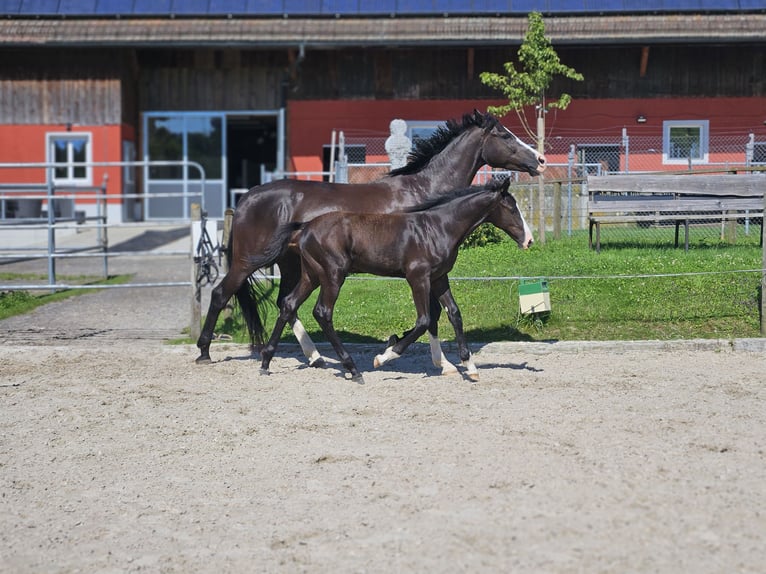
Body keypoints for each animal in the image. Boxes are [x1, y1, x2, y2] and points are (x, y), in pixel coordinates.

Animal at [198, 110, 544, 366]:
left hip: (293, 265)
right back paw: (204, 352)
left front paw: (430, 357)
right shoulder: (421, 270)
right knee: (220, 294)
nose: (539, 160)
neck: (424, 192)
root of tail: (245, 198)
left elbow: (436, 314)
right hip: (249, 261)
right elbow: (431, 315)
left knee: (287, 303)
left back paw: (314, 356)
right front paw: (416, 354)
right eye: (505, 136)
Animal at [260, 179, 532, 388]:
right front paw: (385, 355)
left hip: (311, 275)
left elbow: (454, 314)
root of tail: (305, 228)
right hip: (333, 275)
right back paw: (353, 369)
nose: (528, 240)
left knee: (289, 304)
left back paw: (265, 362)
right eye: (511, 208)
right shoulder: (417, 277)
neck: (438, 228)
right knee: (322, 312)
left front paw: (470, 366)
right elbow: (424, 320)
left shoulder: (439, 277)